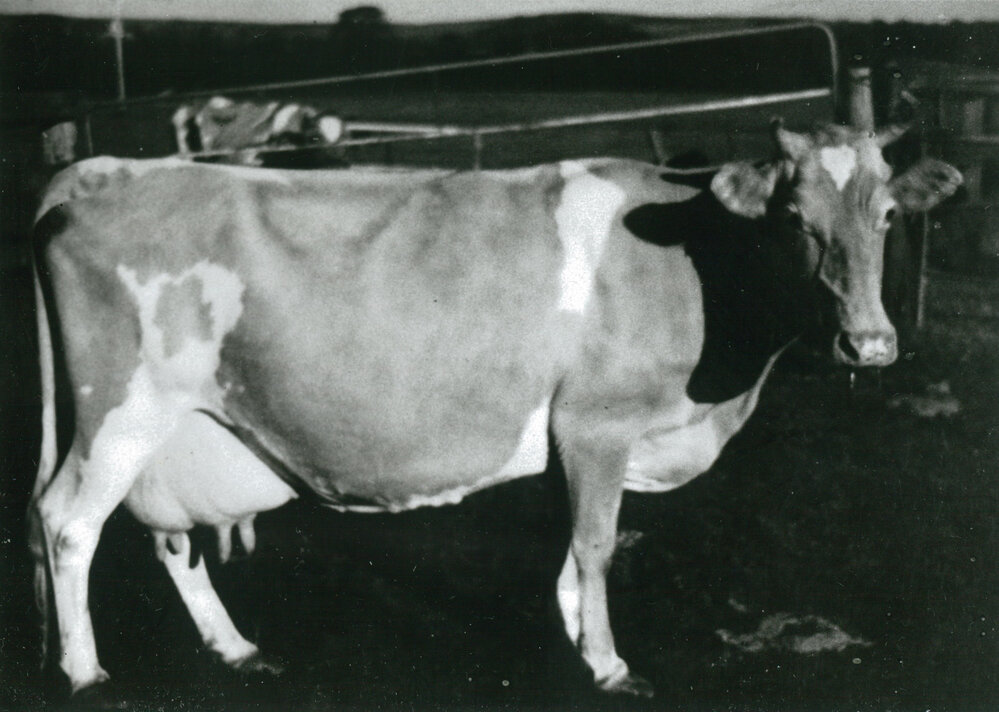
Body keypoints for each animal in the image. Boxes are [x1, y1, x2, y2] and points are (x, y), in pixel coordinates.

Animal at [28, 120, 961, 699]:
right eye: (794, 219)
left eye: (887, 215)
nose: (869, 344)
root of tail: (104, 170)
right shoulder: (595, 423)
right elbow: (596, 542)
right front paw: (609, 663)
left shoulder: (569, 440)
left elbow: (573, 543)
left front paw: (574, 634)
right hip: (122, 408)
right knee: (69, 522)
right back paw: (83, 671)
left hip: (175, 424)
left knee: (166, 537)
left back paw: (234, 647)